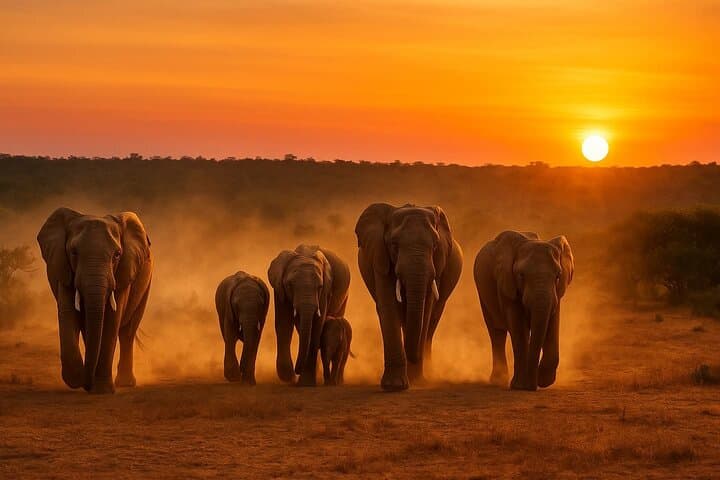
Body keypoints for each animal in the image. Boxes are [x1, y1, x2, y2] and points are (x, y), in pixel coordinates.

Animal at [37, 208, 152, 394]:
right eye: (73, 252)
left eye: (117, 255)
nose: (87, 385)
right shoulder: (64, 269)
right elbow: (68, 313)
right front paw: (78, 378)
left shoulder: (123, 272)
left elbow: (112, 320)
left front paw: (102, 390)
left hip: (145, 285)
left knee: (127, 332)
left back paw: (125, 383)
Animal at [268, 244, 350, 386]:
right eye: (290, 285)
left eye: (320, 286)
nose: (296, 371)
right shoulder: (279, 289)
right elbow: (284, 323)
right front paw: (289, 377)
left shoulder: (325, 291)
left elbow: (317, 324)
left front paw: (305, 382)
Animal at [355, 203, 463, 391]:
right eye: (394, 245)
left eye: (435, 245)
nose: (412, 356)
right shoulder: (380, 258)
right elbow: (388, 306)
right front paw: (395, 386)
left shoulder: (437, 265)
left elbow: (426, 308)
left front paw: (417, 382)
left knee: (431, 321)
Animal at [473, 231, 574, 391]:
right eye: (521, 275)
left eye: (558, 276)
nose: (532, 386)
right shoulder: (506, 283)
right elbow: (517, 324)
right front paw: (520, 386)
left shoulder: (557, 292)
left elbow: (552, 322)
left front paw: (543, 381)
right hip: (482, 293)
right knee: (496, 332)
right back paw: (498, 380)